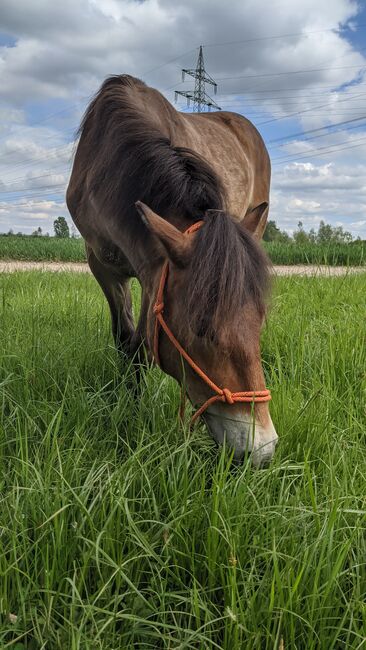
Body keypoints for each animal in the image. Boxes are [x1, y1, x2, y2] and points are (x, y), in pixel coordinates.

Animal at [66, 73, 278, 464]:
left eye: (260, 320)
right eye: (199, 329)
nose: (261, 451)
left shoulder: (152, 272)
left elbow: (142, 346)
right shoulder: (103, 266)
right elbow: (127, 341)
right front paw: (127, 406)